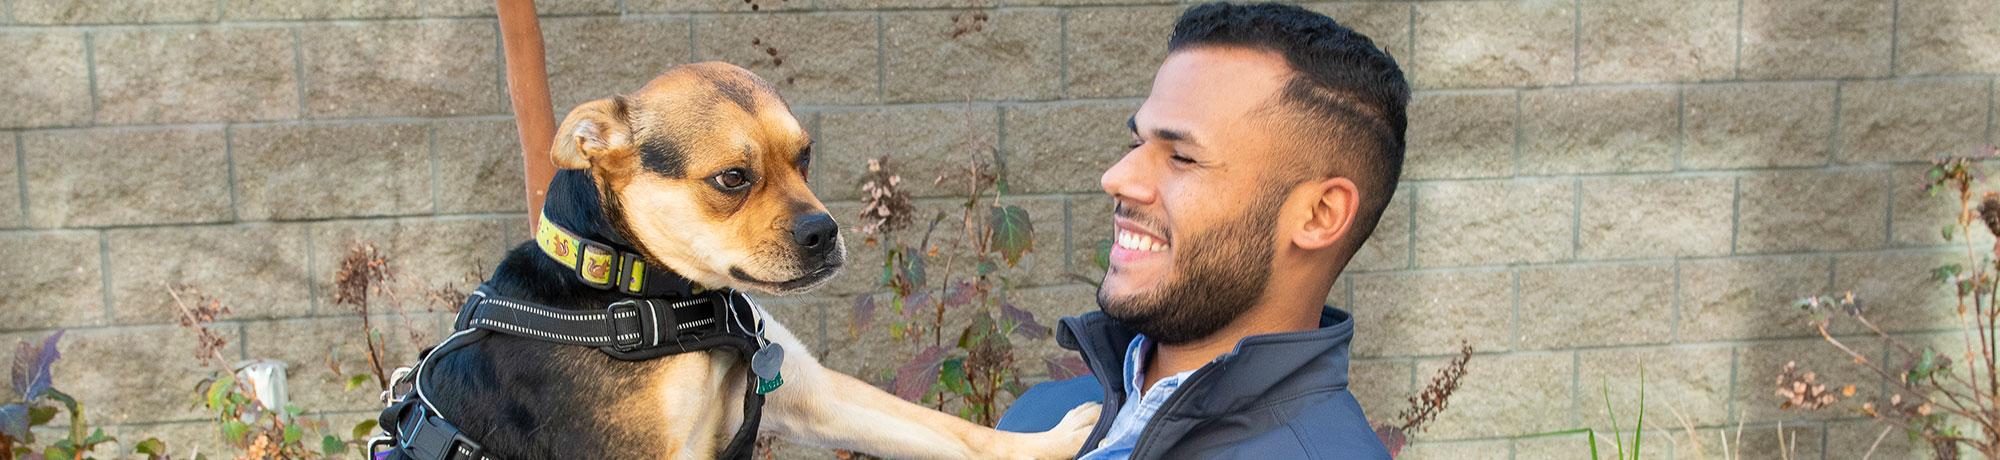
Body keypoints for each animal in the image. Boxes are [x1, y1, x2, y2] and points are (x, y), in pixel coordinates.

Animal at [403, 62, 1100, 459]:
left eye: (806, 155)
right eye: (733, 178)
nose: (825, 231)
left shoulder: (816, 395)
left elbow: (957, 434)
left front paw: (1057, 441)